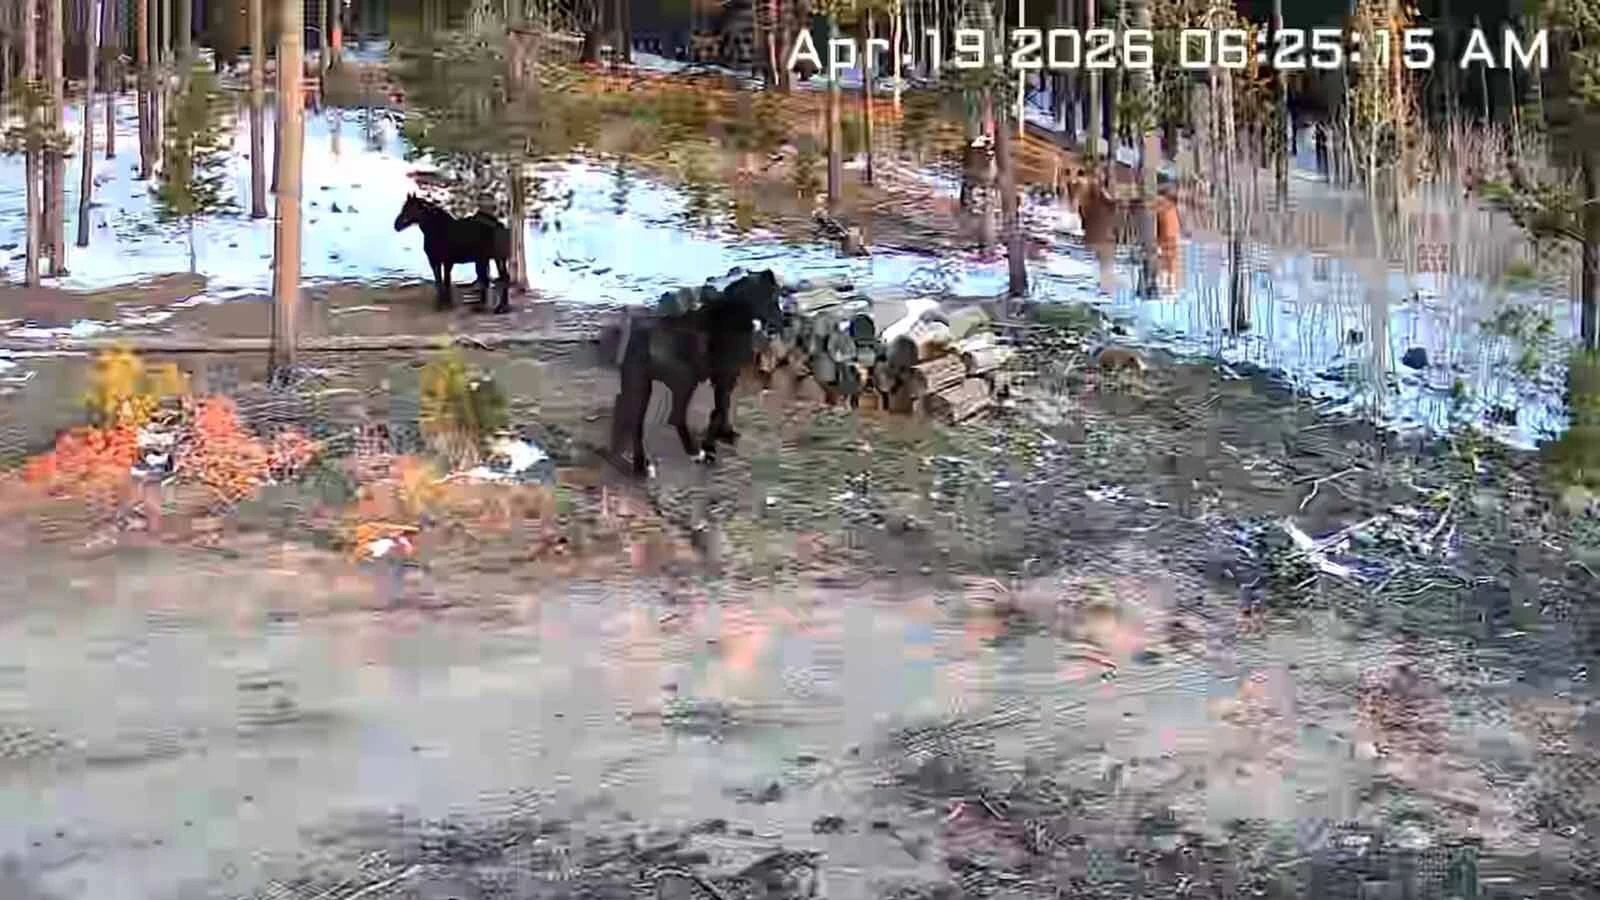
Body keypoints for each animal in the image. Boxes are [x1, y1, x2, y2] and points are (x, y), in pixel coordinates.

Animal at [598, 269, 784, 477]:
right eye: (775, 297)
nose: (781, 321)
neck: (736, 310)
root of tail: (647, 339)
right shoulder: (726, 377)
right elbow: (719, 411)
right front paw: (711, 447)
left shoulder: (723, 379)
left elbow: (723, 408)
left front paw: (722, 436)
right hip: (685, 380)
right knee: (675, 417)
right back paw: (694, 451)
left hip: (639, 386)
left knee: (635, 422)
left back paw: (640, 464)